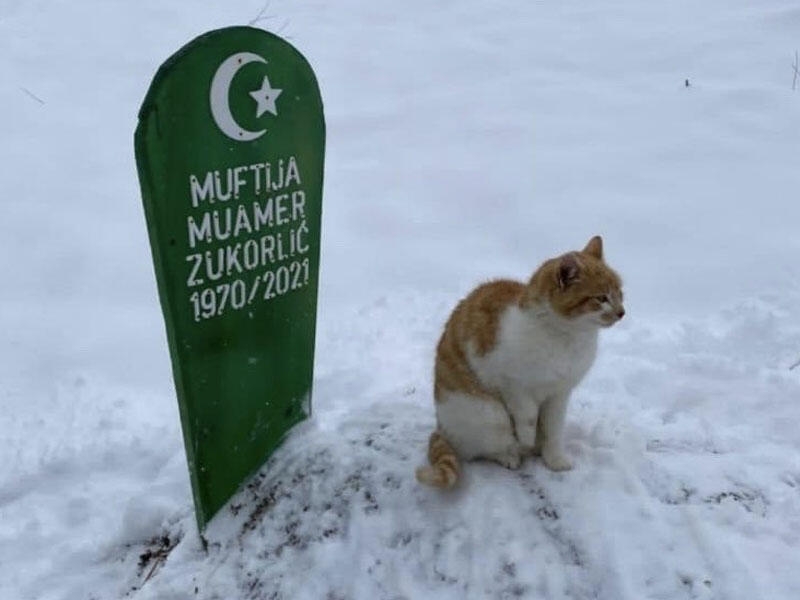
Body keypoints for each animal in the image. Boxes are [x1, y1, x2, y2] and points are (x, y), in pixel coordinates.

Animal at [416, 234, 628, 488]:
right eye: (601, 298)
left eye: (620, 293)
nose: (622, 312)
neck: (566, 337)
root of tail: (441, 427)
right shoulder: (511, 384)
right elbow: (527, 418)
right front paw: (528, 437)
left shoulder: (559, 394)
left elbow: (552, 429)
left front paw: (554, 459)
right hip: (489, 414)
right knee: (485, 447)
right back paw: (511, 455)